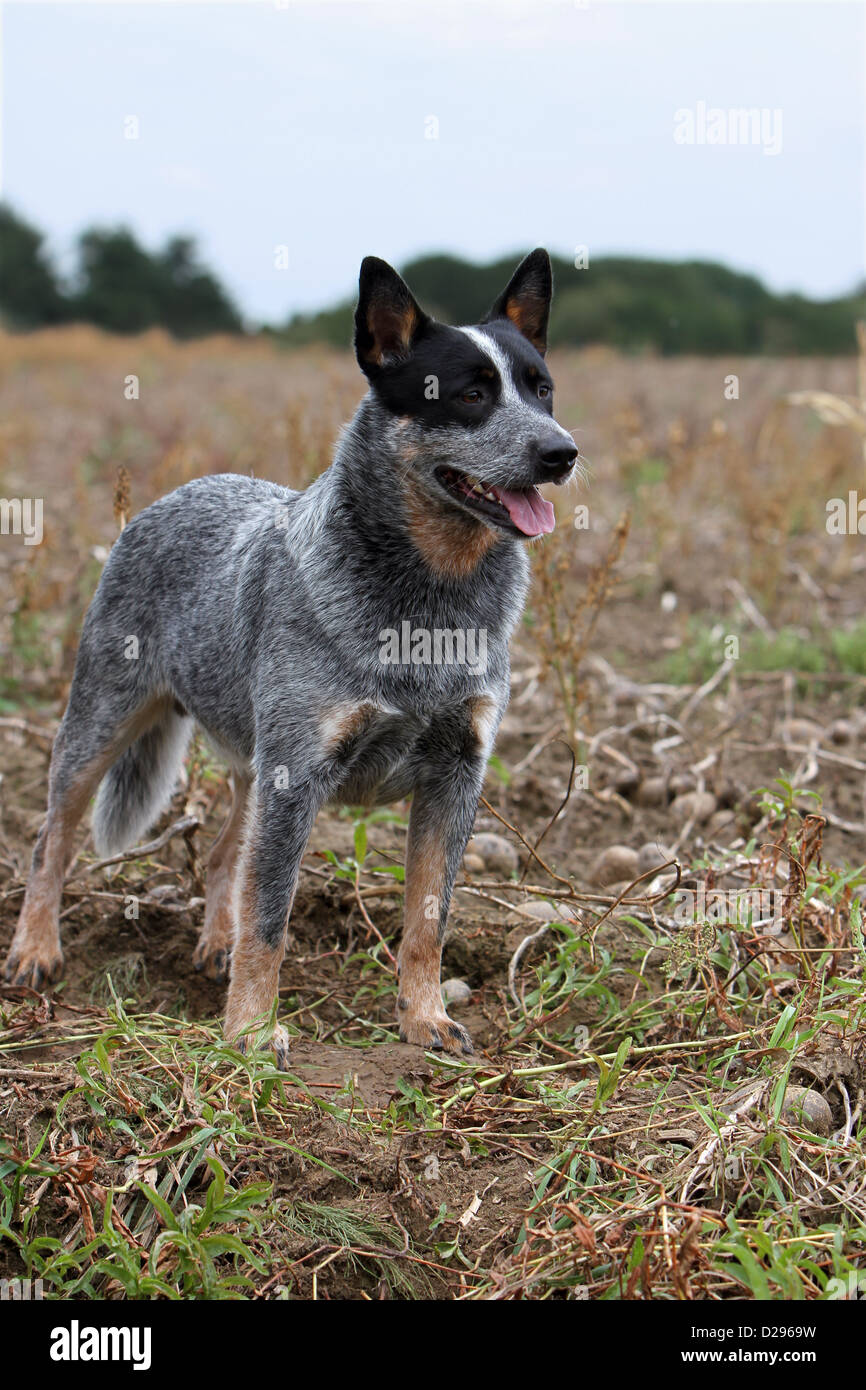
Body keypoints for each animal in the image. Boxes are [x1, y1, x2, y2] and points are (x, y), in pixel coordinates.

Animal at [6, 250, 578, 1056]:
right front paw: (249, 1033)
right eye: (470, 394)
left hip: (250, 760)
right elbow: (271, 918)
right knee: (50, 840)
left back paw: (214, 945)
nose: (562, 451)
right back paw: (35, 949)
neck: (432, 598)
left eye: (542, 388)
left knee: (224, 857)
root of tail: (171, 495)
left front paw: (425, 1018)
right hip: (100, 722)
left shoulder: (456, 773)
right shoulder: (296, 775)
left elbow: (427, 919)